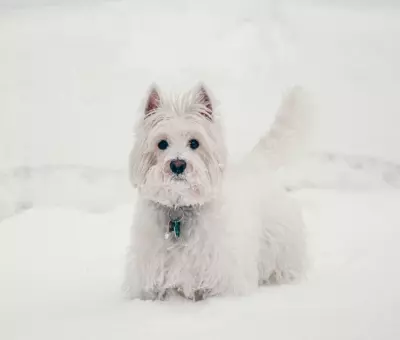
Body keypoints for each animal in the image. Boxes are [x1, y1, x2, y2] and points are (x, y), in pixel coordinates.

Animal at [125, 83, 310, 302]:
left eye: (194, 143)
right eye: (162, 143)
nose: (177, 164)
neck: (180, 210)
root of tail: (256, 164)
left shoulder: (223, 279)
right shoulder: (150, 277)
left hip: (282, 247)